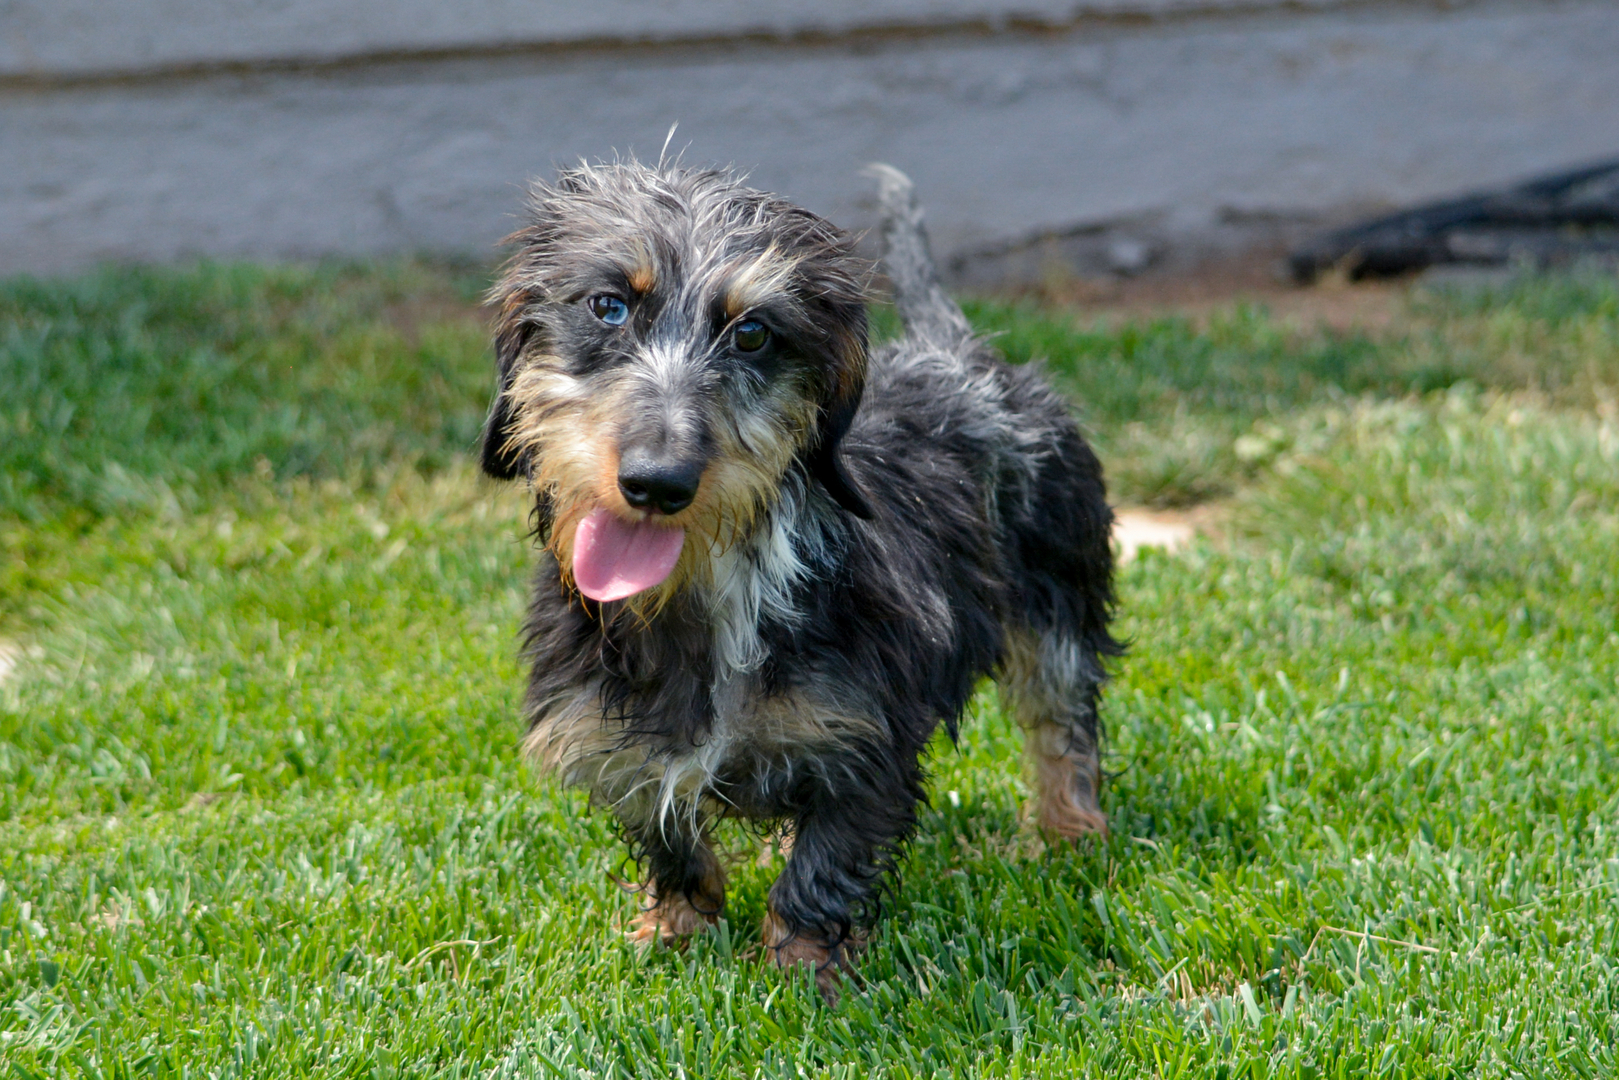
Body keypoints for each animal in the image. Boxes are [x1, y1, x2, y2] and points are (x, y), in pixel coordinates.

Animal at [472, 162, 1120, 1003]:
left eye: (752, 333)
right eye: (607, 306)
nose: (656, 482)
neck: (701, 593)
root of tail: (958, 351)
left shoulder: (864, 739)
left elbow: (821, 867)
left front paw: (803, 972)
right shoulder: (612, 736)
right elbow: (669, 840)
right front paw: (675, 931)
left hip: (1058, 604)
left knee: (1060, 725)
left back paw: (1068, 832)